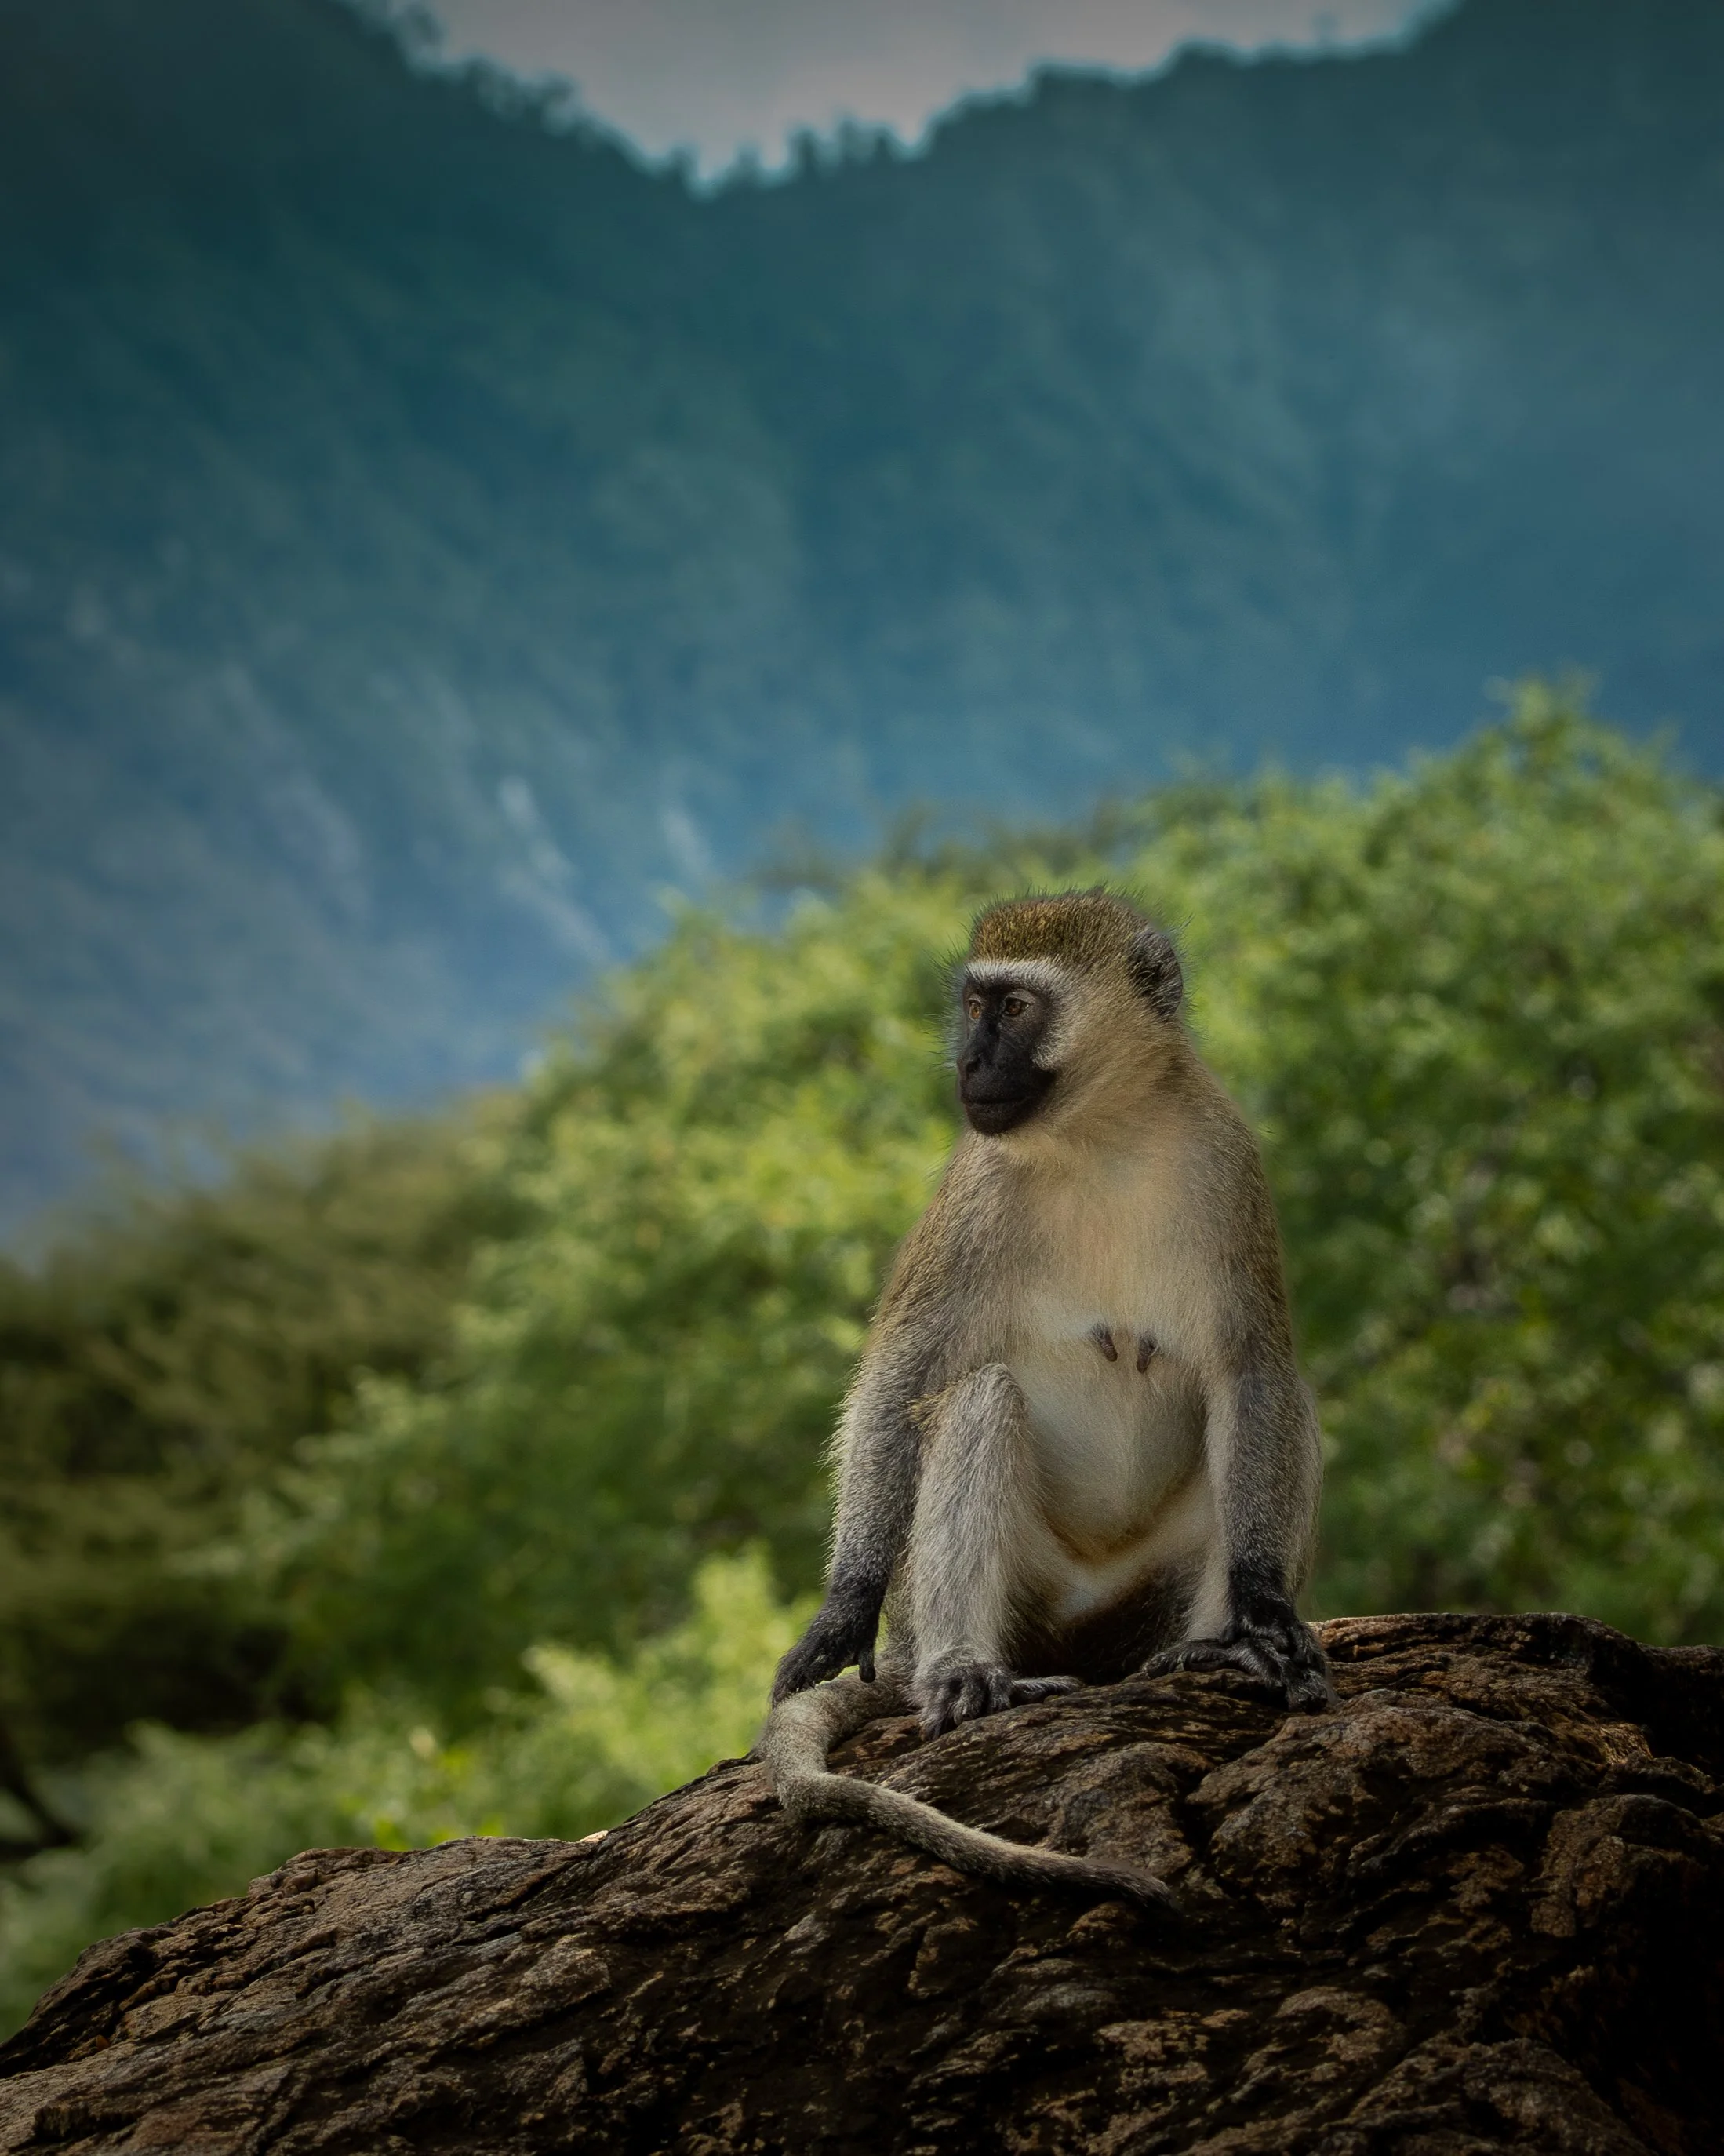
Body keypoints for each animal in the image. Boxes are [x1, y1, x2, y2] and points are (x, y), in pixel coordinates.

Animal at [760, 889, 1328, 1908]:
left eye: (1015, 1009)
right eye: (973, 1006)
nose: (968, 1063)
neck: (1100, 1135)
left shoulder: (1229, 1164)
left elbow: (1253, 1372)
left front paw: (1264, 1608)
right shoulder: (973, 1193)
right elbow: (901, 1375)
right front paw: (844, 1602)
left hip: (1138, 1601)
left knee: (1286, 1402)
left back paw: (1214, 1650)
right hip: (1010, 1599)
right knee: (981, 1398)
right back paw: (962, 1673)